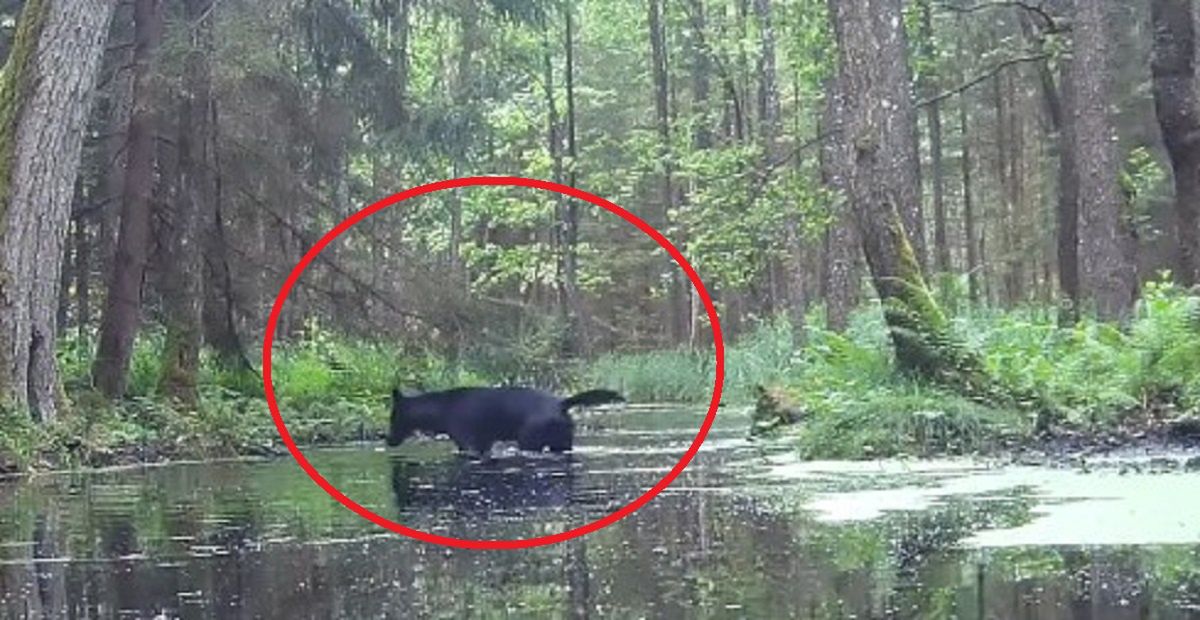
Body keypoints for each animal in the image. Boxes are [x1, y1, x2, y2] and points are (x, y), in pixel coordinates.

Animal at [386, 386, 628, 453]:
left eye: (393, 417)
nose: (387, 440)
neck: (440, 411)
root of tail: (561, 403)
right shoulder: (483, 443)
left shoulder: (469, 443)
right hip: (563, 442)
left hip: (530, 440)